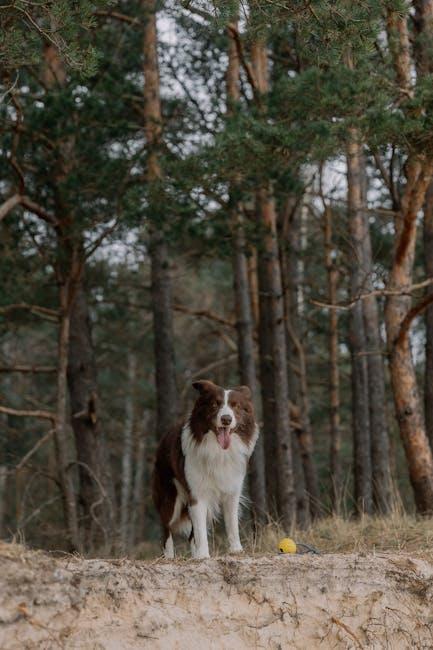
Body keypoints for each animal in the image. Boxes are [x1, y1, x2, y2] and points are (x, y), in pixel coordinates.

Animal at [154, 380, 258, 556]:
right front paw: (203, 555)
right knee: (167, 528)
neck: (218, 451)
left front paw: (236, 550)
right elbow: (200, 530)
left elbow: (232, 524)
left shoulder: (232, 491)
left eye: (235, 406)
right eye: (215, 404)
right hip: (170, 496)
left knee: (191, 535)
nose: (226, 419)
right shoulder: (197, 494)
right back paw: (169, 556)